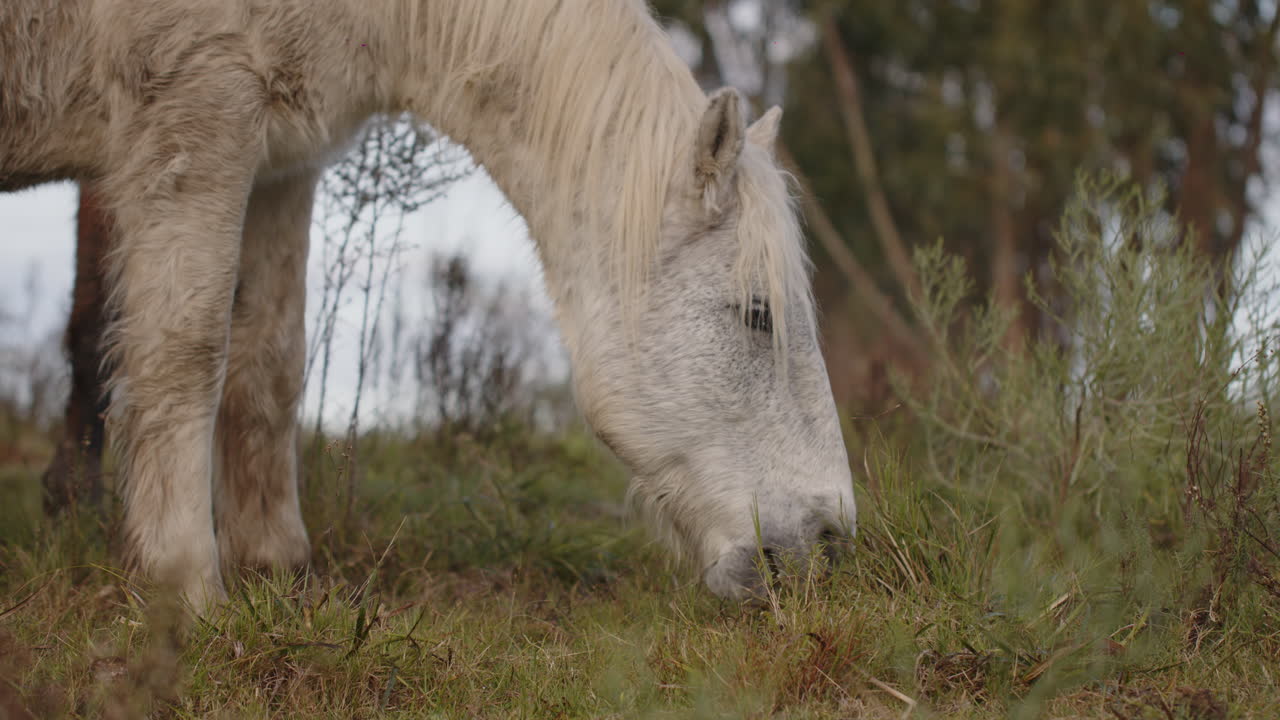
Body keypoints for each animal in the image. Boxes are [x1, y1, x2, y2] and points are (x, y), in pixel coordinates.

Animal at [1, 0, 856, 610]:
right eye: (757, 314)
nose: (828, 542)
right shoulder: (197, 127)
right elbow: (186, 355)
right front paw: (187, 590)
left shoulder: (280, 164)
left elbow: (267, 364)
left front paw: (276, 570)